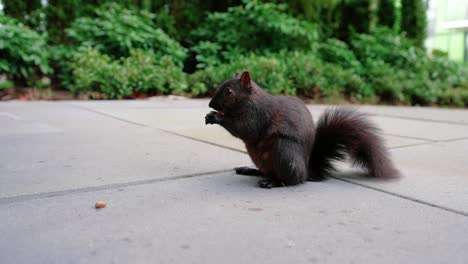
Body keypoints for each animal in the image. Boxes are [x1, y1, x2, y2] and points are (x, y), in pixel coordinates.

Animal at [205, 70, 398, 188]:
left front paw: (216, 117)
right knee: (266, 171)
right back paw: (251, 170)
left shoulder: (257, 114)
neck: (249, 99)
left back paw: (273, 182)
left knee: (290, 180)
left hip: (284, 151)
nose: (211, 104)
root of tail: (306, 171)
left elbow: (246, 129)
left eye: (229, 91)